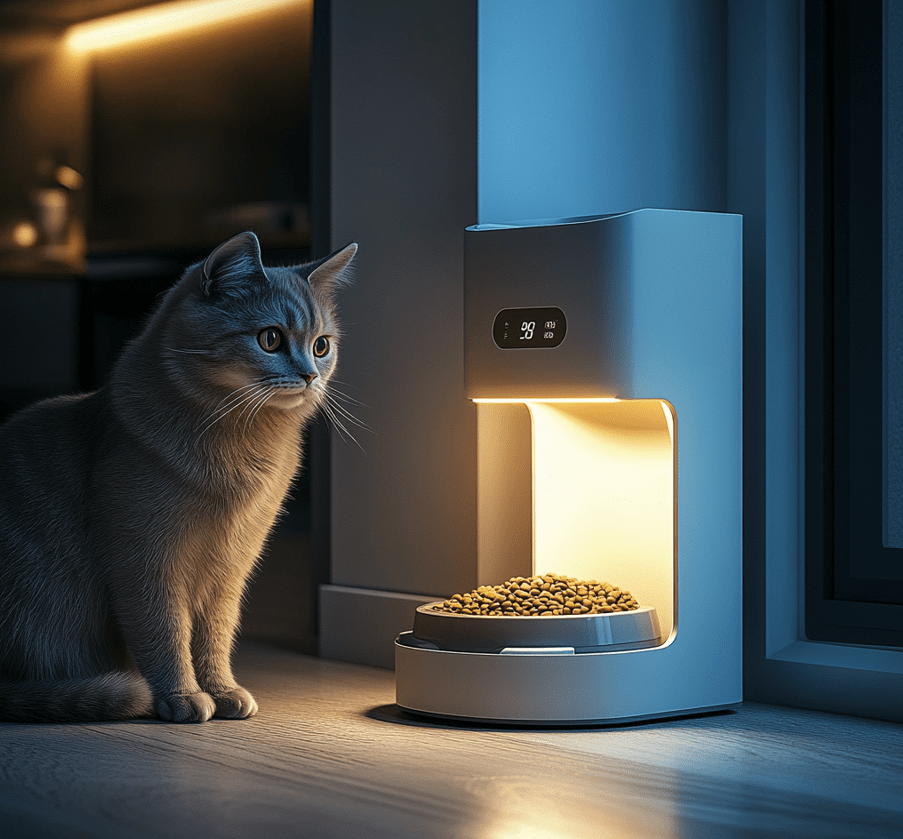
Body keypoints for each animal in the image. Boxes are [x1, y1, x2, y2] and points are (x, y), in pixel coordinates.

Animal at [0, 230, 358, 720]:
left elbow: (215, 635)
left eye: (322, 346)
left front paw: (222, 689)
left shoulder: (232, 567)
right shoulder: (144, 560)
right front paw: (182, 695)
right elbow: (164, 632)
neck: (242, 448)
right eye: (270, 339)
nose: (309, 375)